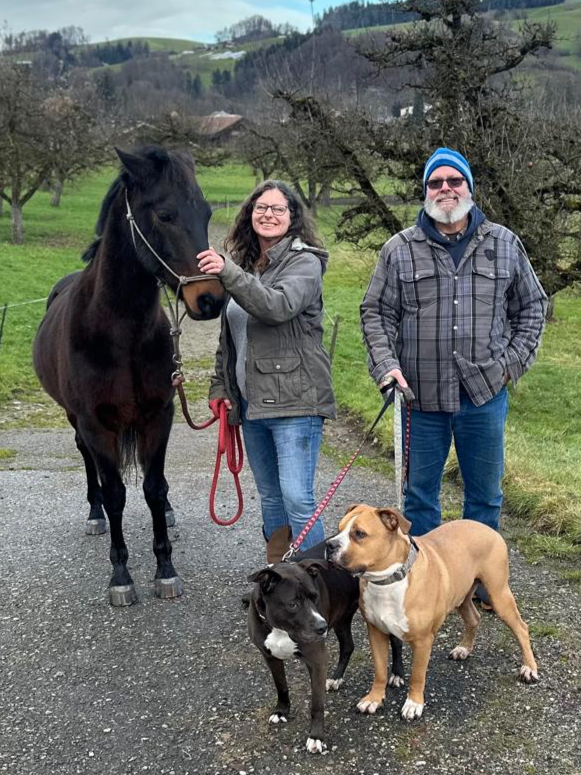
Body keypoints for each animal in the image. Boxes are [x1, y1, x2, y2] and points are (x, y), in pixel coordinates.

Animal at [32, 146, 225, 608]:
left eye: (207, 212)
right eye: (165, 214)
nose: (210, 299)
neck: (119, 331)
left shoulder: (159, 415)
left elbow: (153, 488)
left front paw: (165, 569)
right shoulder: (95, 422)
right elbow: (116, 493)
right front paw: (120, 575)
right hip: (75, 420)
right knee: (88, 464)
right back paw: (94, 512)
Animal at [326, 504, 540, 720]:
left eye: (359, 534)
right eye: (339, 529)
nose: (329, 544)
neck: (387, 581)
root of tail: (487, 528)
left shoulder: (423, 641)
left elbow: (417, 675)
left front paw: (413, 704)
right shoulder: (376, 632)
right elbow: (379, 671)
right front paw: (374, 699)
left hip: (498, 594)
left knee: (521, 628)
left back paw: (529, 668)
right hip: (462, 596)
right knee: (473, 618)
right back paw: (464, 648)